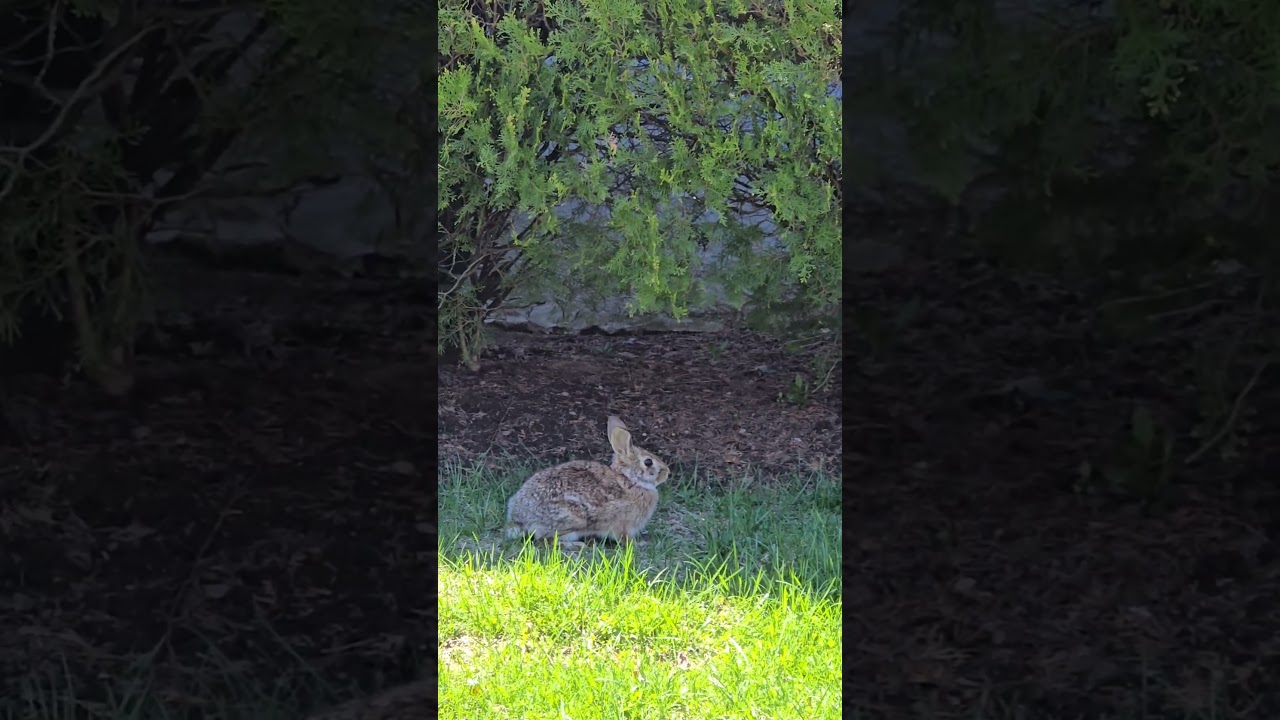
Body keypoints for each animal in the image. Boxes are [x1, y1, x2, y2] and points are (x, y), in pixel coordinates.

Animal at [505, 416, 669, 547]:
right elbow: (625, 538)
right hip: (572, 519)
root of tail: (519, 520)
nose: (667, 473)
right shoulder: (624, 524)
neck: (630, 479)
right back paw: (577, 545)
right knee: (545, 539)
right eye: (648, 462)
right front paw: (640, 544)